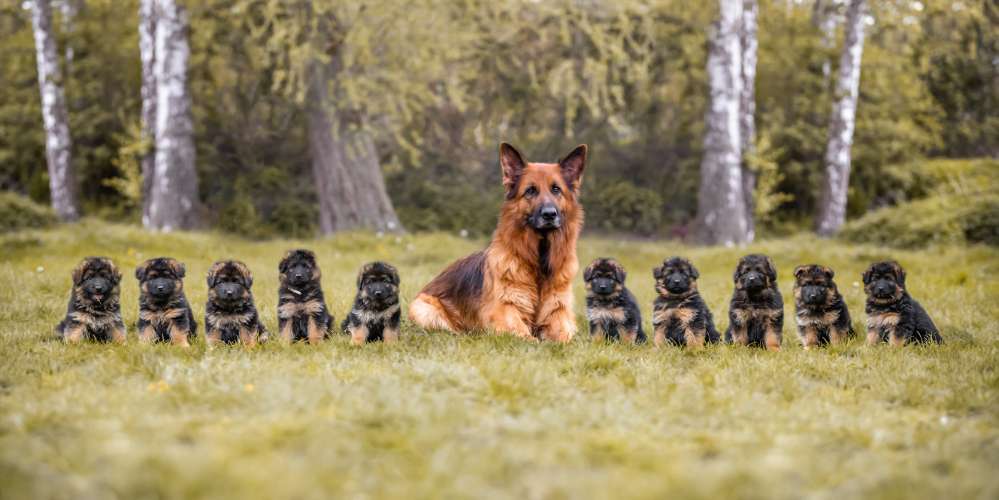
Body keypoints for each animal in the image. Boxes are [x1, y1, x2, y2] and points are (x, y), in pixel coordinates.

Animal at [410, 143, 588, 342]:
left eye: (556, 189)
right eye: (530, 190)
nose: (549, 214)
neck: (539, 261)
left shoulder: (559, 313)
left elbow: (566, 338)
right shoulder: (506, 314)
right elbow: (528, 338)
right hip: (425, 309)